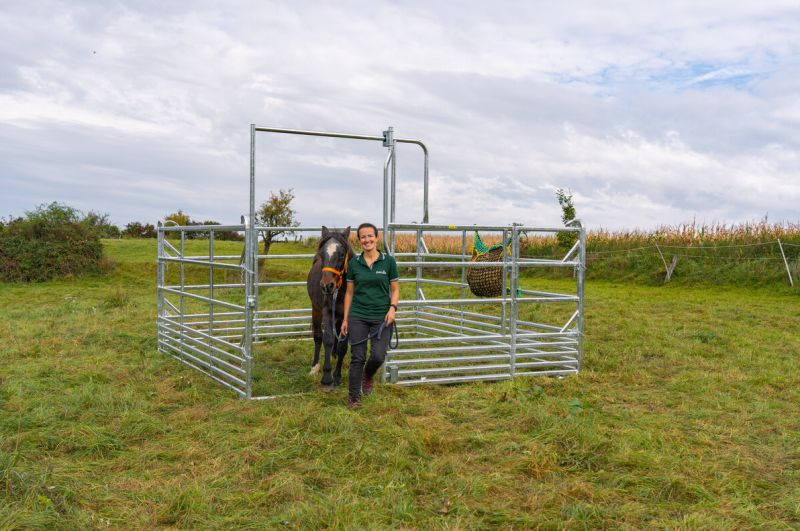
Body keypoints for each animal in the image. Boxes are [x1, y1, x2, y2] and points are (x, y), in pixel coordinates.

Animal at [308, 225, 354, 390]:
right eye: (322, 254)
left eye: (341, 254)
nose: (326, 286)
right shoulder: (327, 312)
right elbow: (326, 339)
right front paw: (327, 378)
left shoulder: (348, 317)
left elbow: (342, 347)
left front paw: (337, 377)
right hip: (315, 310)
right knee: (317, 336)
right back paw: (315, 366)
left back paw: (333, 355)